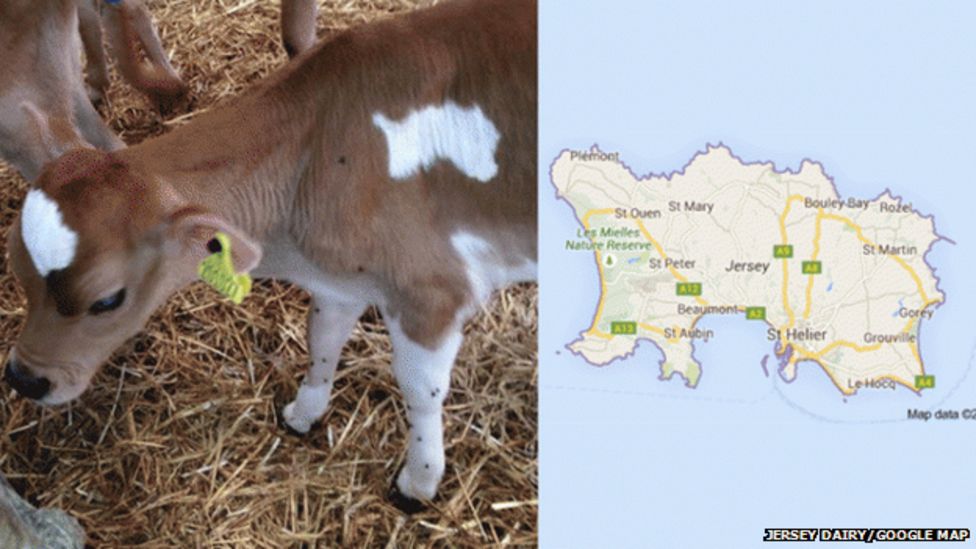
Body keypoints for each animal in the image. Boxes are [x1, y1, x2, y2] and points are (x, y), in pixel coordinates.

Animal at [3, 0, 537, 505]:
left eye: (108, 299)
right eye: (18, 273)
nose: (24, 379)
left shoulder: (431, 291)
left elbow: (419, 389)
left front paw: (418, 482)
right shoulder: (342, 281)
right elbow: (322, 340)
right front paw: (303, 413)